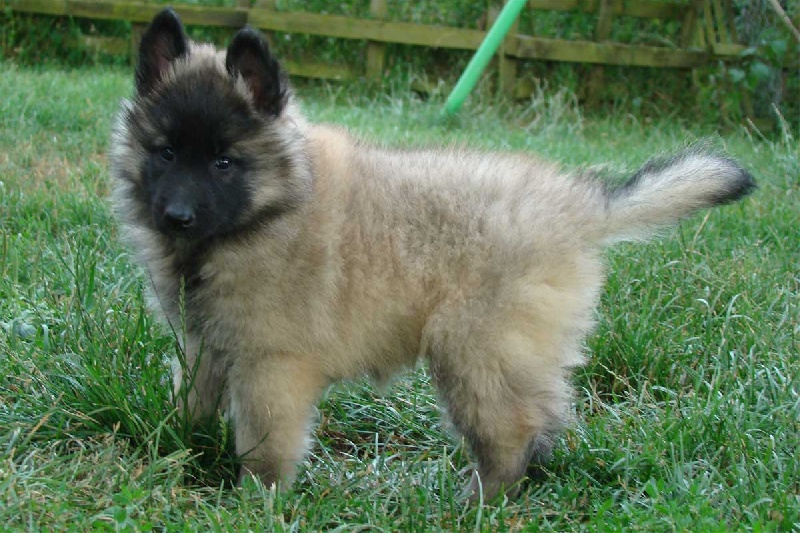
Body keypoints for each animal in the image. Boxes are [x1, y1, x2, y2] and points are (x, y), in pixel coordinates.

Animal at [109, 7, 752, 498]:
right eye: (166, 153)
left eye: (224, 161)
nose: (176, 216)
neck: (264, 214)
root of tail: (577, 206)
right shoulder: (204, 344)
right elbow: (191, 400)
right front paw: (176, 450)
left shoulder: (272, 364)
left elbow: (265, 444)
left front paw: (253, 501)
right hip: (513, 354)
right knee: (543, 418)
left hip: (475, 351)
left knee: (511, 433)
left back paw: (480, 502)